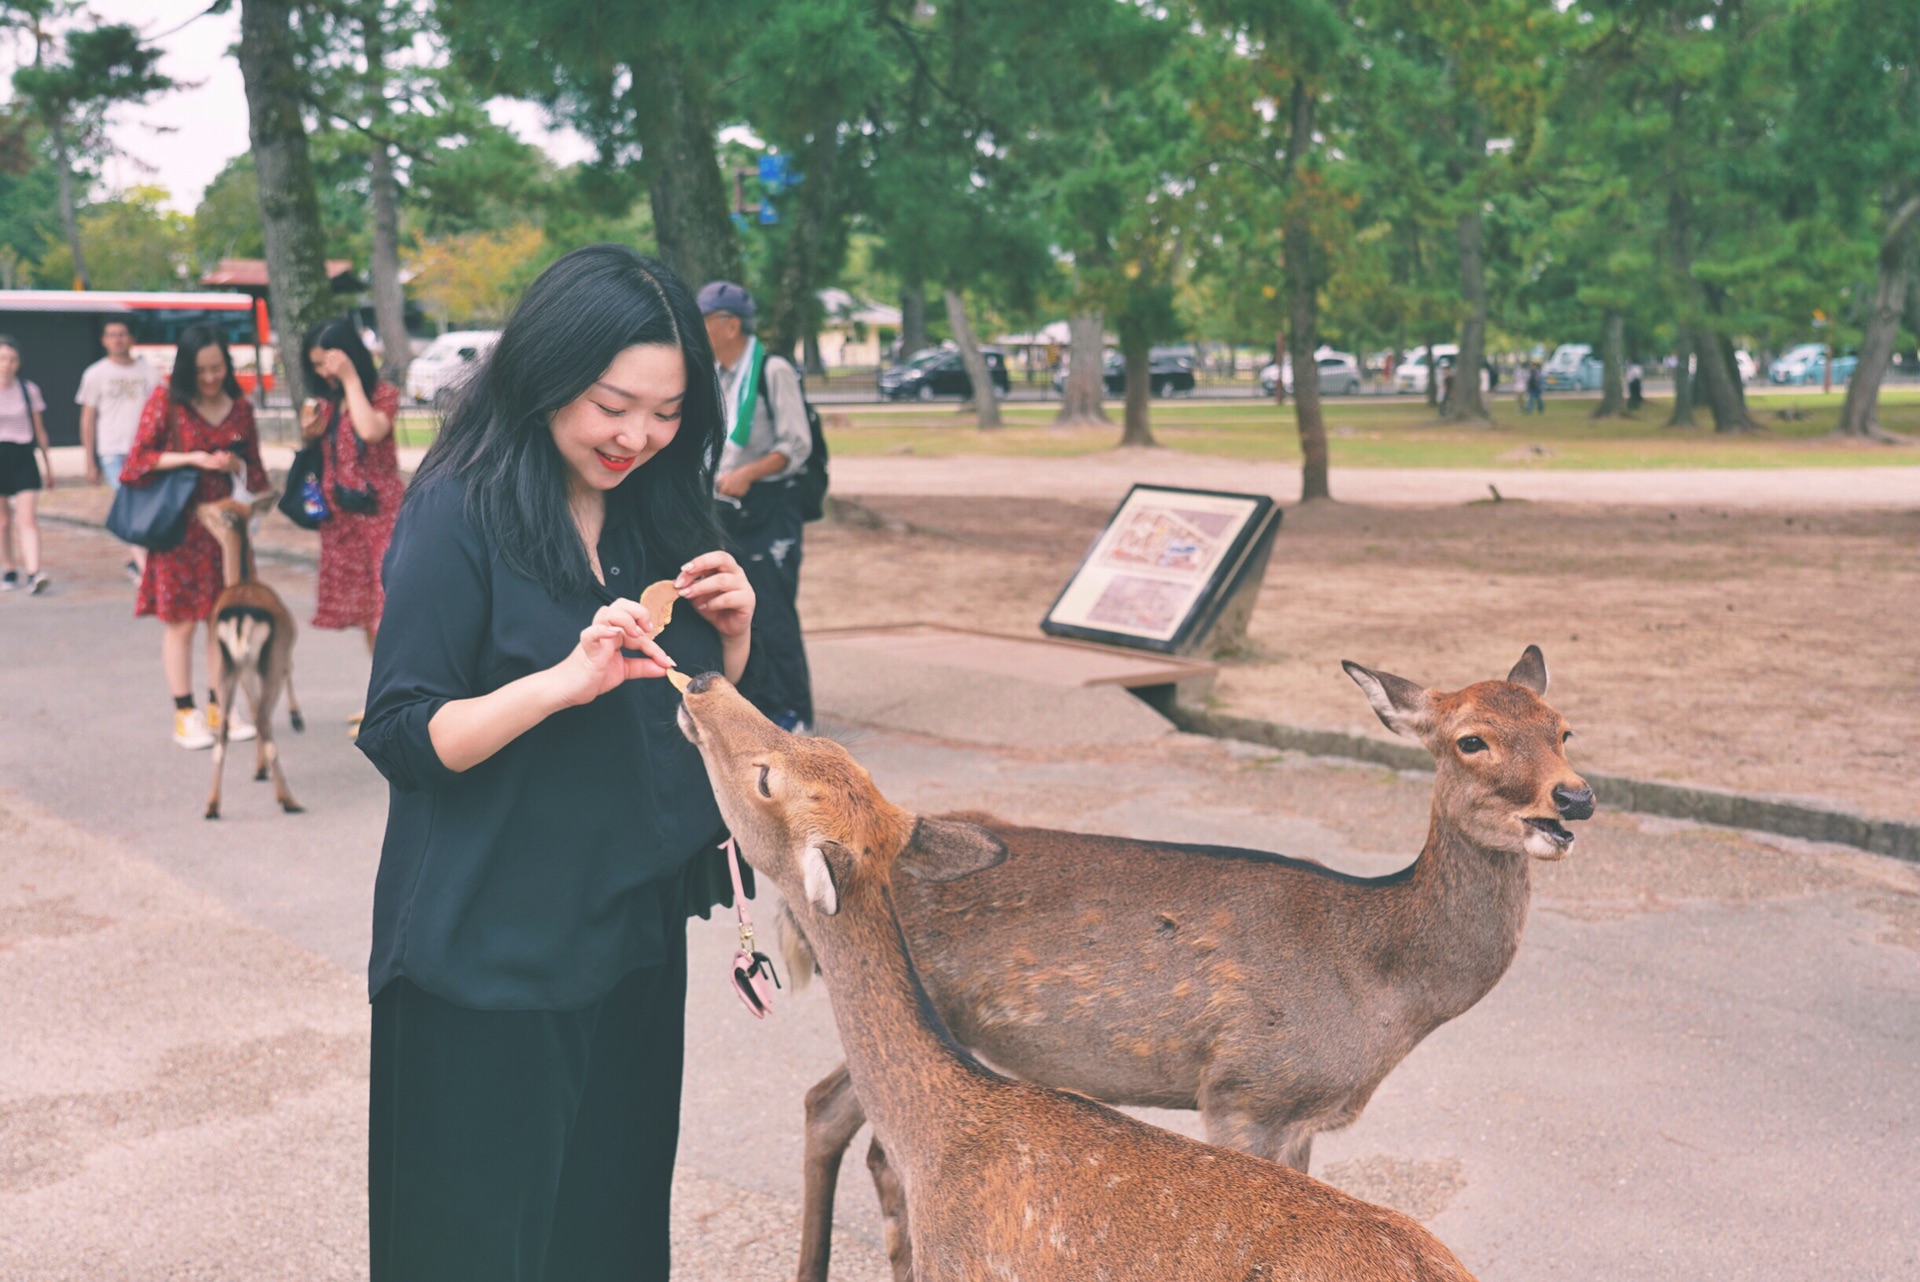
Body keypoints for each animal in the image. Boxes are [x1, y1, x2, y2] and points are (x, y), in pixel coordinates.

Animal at [198, 495, 303, 817]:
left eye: (217, 507)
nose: (196, 509)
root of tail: (242, 618)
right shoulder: (283, 647)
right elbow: (287, 672)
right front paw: (296, 718)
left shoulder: (246, 668)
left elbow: (253, 707)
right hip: (265, 660)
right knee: (264, 719)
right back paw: (287, 799)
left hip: (222, 664)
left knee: (223, 733)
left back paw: (212, 805)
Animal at [779, 652, 1589, 1282]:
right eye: (1471, 740)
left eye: (1564, 729)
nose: (1575, 797)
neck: (1379, 986)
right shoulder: (1246, 1088)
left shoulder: (1300, 1116)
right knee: (836, 1112)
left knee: (843, 1117)